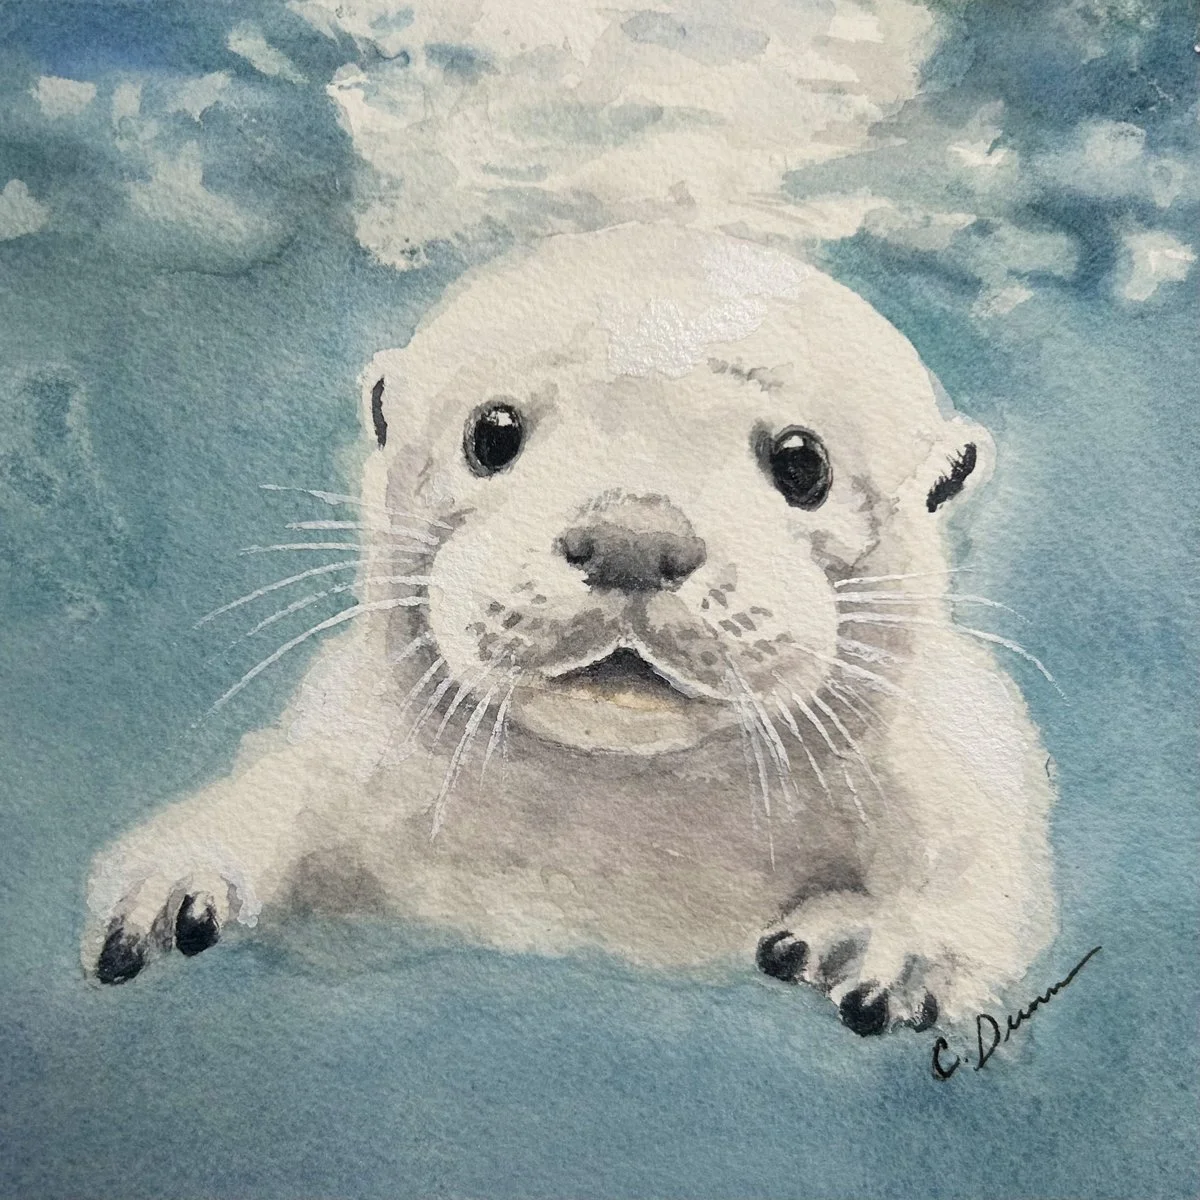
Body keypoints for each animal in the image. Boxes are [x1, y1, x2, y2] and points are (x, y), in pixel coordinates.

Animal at [84, 224, 1057, 1036]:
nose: (633, 538)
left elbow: (980, 850)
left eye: (801, 462)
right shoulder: (347, 746)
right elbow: (279, 788)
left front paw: (901, 948)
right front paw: (170, 879)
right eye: (493, 433)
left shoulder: (953, 743)